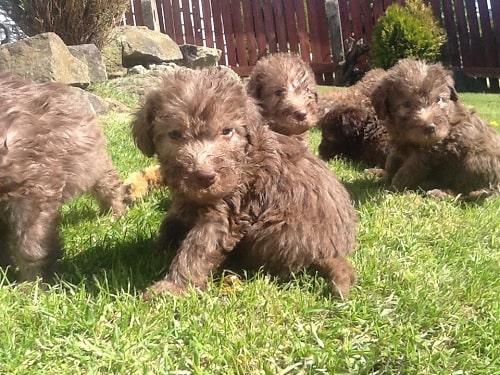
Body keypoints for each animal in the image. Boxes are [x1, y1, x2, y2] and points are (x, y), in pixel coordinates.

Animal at [132, 67, 360, 302]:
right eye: (175, 134)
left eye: (227, 131)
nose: (206, 176)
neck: (244, 157)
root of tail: (330, 251)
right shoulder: (187, 200)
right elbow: (171, 222)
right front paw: (153, 249)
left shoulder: (227, 211)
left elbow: (197, 248)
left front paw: (173, 287)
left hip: (273, 230)